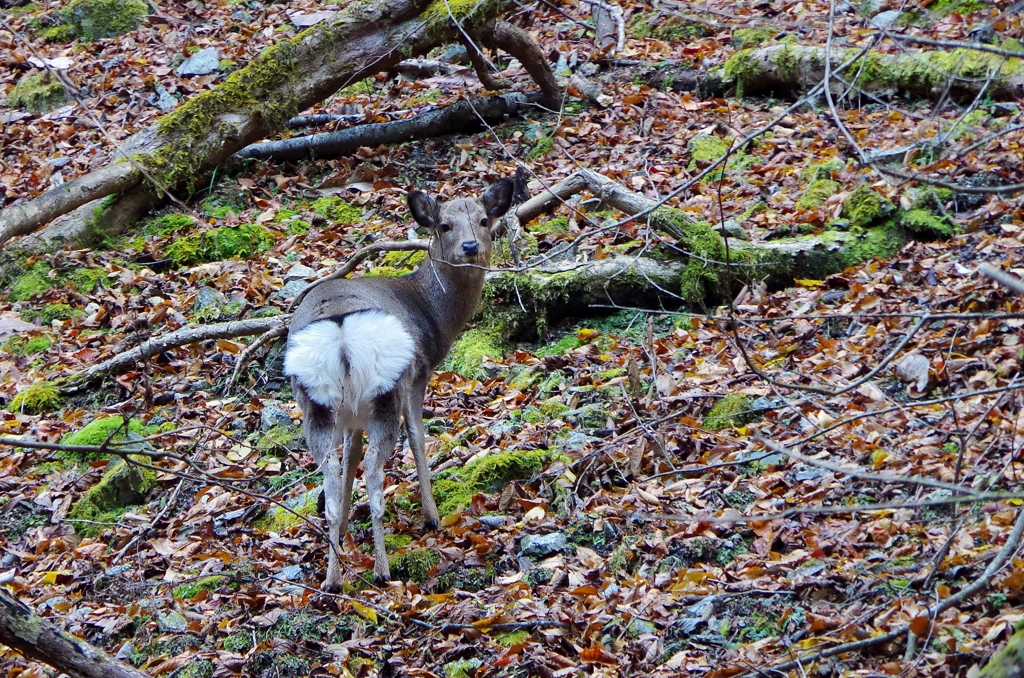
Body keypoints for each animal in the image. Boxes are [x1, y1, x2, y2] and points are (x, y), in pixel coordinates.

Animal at [284, 179, 512, 589]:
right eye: (444, 226)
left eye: (485, 220)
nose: (471, 246)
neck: (433, 315)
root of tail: (342, 332)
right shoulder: (418, 375)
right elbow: (419, 438)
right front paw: (432, 516)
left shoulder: (352, 417)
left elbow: (350, 457)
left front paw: (345, 532)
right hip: (386, 389)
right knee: (376, 476)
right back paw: (381, 569)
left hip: (317, 404)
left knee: (330, 483)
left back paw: (332, 578)